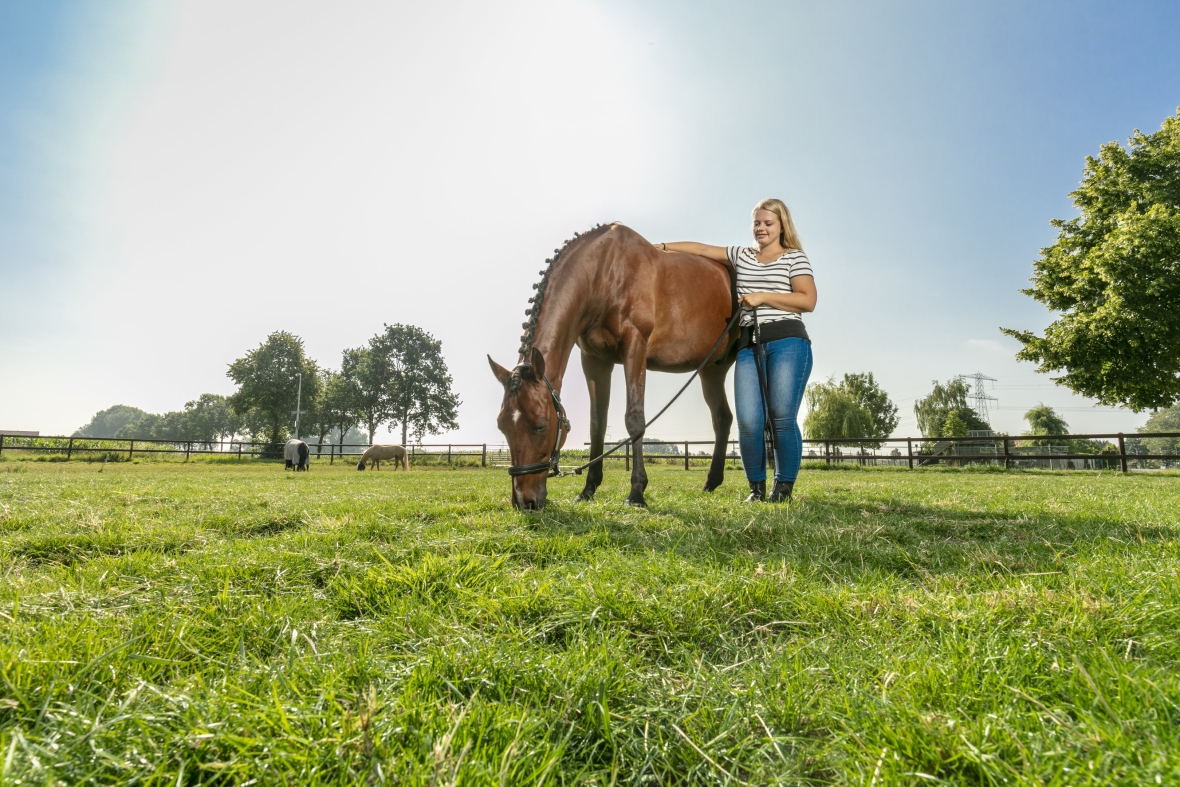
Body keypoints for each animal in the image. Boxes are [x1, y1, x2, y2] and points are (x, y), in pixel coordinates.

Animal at [488, 223, 738, 510]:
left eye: (540, 425)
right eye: (502, 425)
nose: (523, 502)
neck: (603, 274)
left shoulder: (635, 345)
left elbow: (635, 419)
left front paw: (637, 492)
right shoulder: (595, 360)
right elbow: (597, 424)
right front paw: (588, 489)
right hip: (713, 369)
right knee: (722, 418)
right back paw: (711, 483)